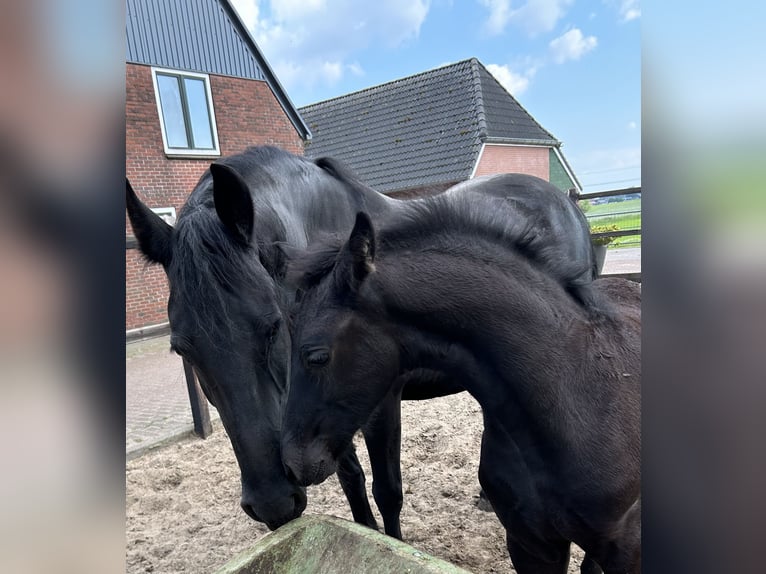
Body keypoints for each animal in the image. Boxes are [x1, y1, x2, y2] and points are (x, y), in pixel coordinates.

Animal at [126, 145, 597, 536]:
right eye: (182, 348)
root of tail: (561, 200)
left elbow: (386, 490)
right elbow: (351, 481)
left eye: (273, 326)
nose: (272, 503)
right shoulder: (321, 415)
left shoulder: (379, 400)